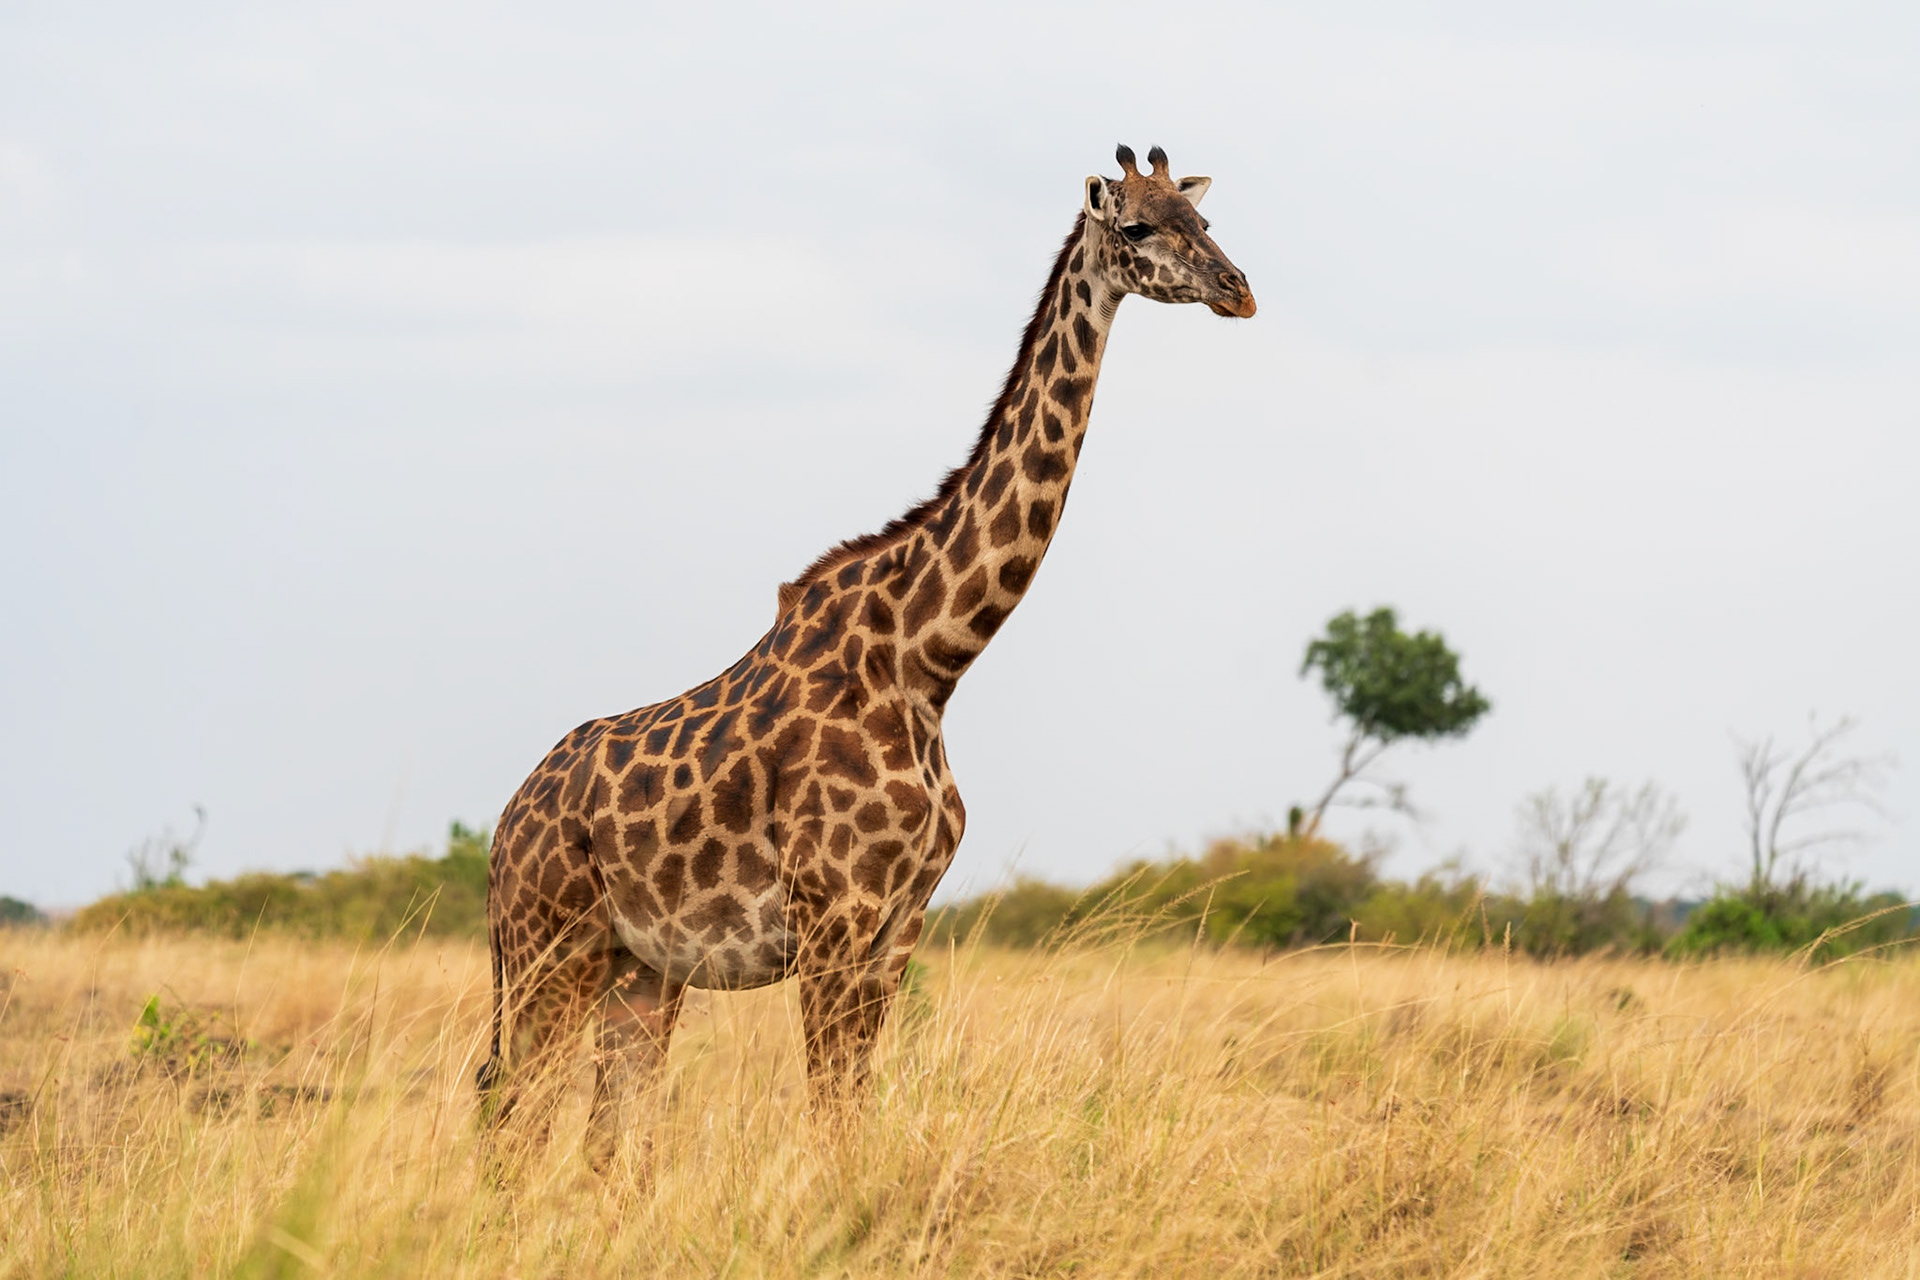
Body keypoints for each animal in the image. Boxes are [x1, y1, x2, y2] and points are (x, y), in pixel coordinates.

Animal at [479, 144, 1256, 1173]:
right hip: (546, 948)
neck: (928, 662)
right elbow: (831, 1119)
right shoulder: (834, 917)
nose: (1239, 290)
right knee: (512, 1120)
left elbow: (852, 1113)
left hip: (636, 967)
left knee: (606, 1137)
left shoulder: (898, 924)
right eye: (1136, 226)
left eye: (1203, 220)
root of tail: (503, 828)